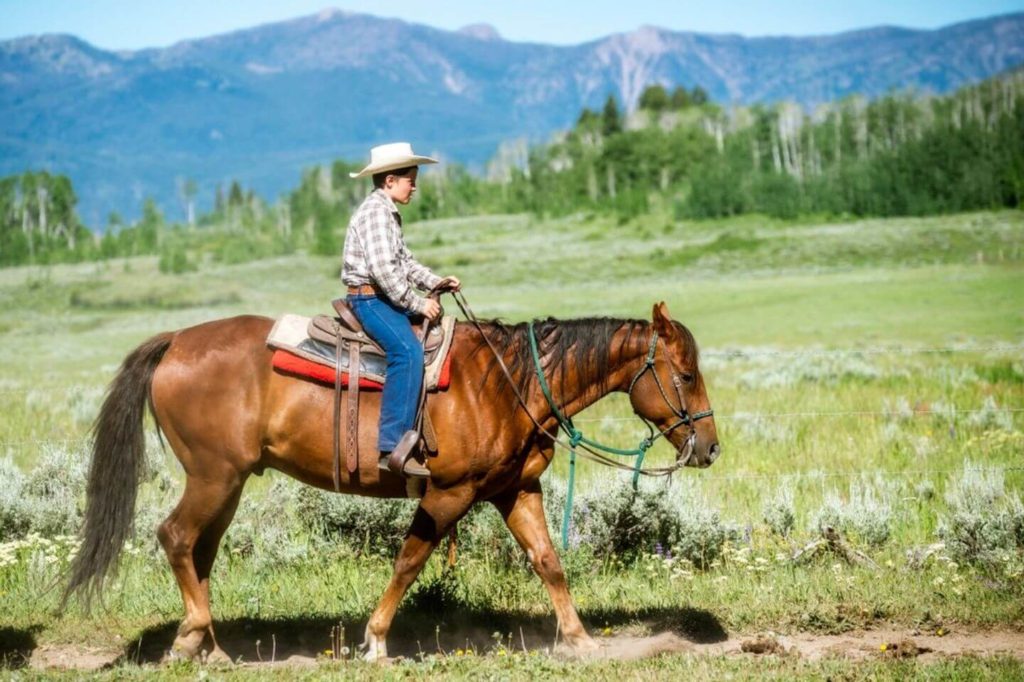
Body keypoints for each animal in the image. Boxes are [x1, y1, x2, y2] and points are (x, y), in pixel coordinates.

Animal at [63, 300, 719, 662]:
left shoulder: (513, 490)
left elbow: (548, 562)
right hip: (213, 476)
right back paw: (190, 638)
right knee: (176, 538)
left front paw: (580, 640)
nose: (709, 447)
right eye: (685, 375)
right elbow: (409, 561)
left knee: (200, 551)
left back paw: (214, 650)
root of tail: (176, 341)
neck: (510, 384)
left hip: (228, 482)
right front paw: (376, 640)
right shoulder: (449, 492)